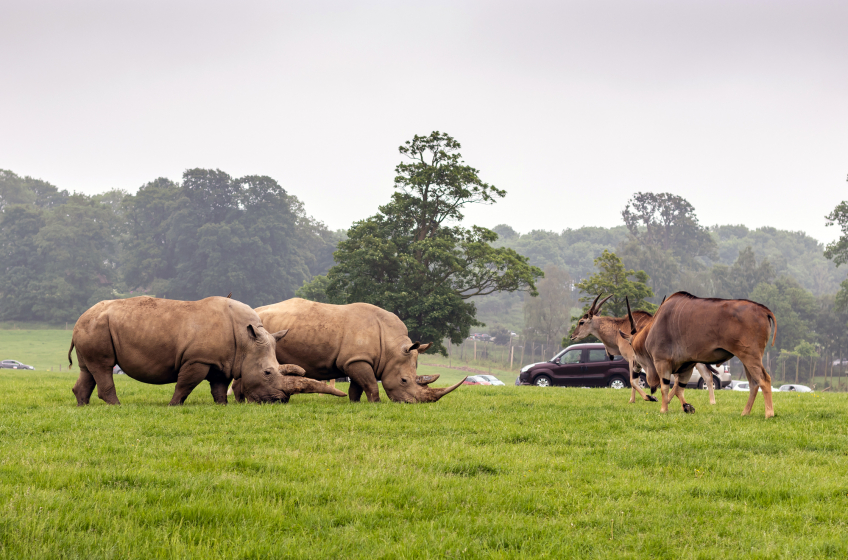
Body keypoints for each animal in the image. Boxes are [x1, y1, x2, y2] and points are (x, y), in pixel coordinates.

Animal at [568, 294, 724, 406]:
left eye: (581, 322)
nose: (572, 336)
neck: (620, 328)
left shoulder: (632, 359)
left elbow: (632, 381)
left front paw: (649, 397)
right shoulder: (637, 362)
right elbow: (636, 381)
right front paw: (633, 400)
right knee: (706, 376)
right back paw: (710, 401)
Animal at [616, 294, 776, 416]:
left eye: (632, 347)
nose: (634, 365)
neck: (652, 328)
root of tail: (764, 310)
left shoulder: (662, 362)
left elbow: (665, 387)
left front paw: (663, 409)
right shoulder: (688, 365)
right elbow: (679, 389)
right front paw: (687, 407)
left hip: (750, 357)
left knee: (764, 379)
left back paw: (769, 413)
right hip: (746, 359)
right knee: (754, 383)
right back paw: (745, 413)